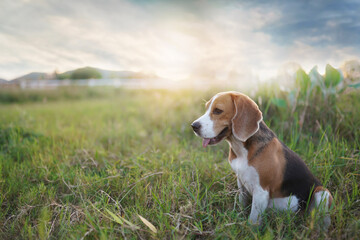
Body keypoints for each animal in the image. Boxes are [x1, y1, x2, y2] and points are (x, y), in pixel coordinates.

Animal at [191, 92, 332, 229]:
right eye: (206, 109)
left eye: (218, 111)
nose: (193, 126)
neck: (242, 150)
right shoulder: (241, 183)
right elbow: (242, 204)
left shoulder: (261, 192)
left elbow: (253, 220)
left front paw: (249, 231)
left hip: (322, 193)